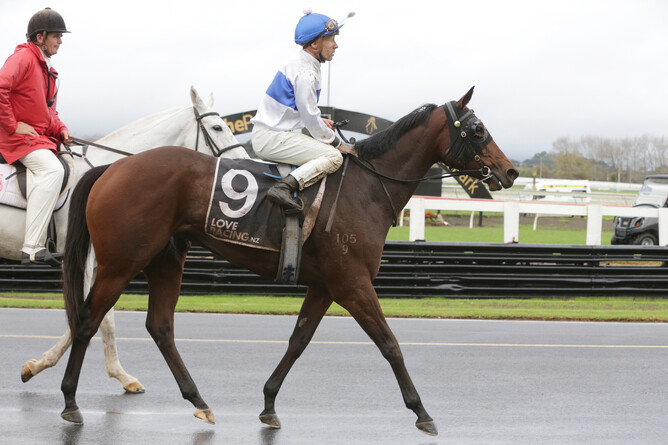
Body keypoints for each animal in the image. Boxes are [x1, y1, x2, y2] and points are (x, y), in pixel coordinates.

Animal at [12, 85, 249, 392]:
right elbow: (91, 317)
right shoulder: (92, 264)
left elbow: (96, 317)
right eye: (218, 127)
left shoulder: (102, 265)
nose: (243, 169)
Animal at [58, 88, 518, 435]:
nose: (510, 172)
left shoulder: (325, 285)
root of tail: (112, 168)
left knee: (160, 326)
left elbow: (298, 341)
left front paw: (268, 404)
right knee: (88, 319)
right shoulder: (352, 283)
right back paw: (70, 401)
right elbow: (389, 343)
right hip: (121, 262)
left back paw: (199, 401)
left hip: (166, 258)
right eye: (477, 129)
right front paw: (421, 411)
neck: (368, 188)